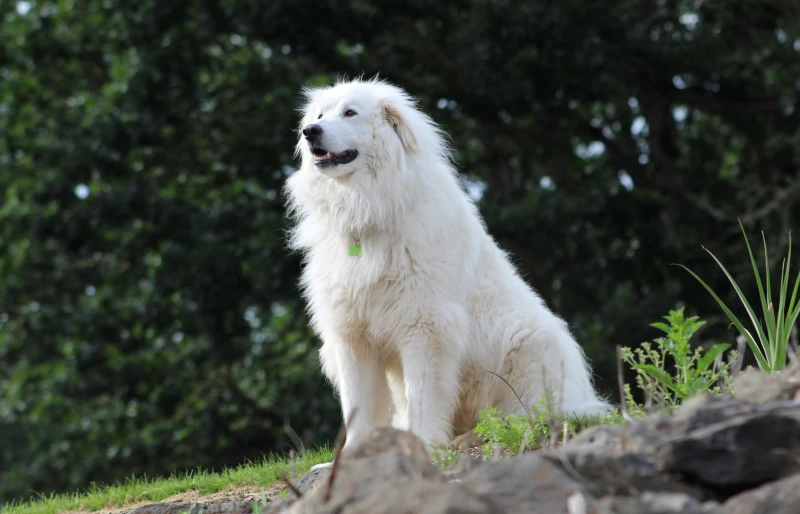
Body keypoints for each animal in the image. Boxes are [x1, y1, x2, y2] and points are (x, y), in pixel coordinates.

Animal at [284, 76, 608, 452]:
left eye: (350, 113)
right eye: (320, 115)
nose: (309, 131)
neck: (368, 210)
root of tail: (585, 398)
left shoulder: (425, 328)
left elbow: (423, 396)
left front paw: (423, 444)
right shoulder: (352, 335)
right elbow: (358, 404)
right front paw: (356, 454)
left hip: (530, 345)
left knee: (524, 419)